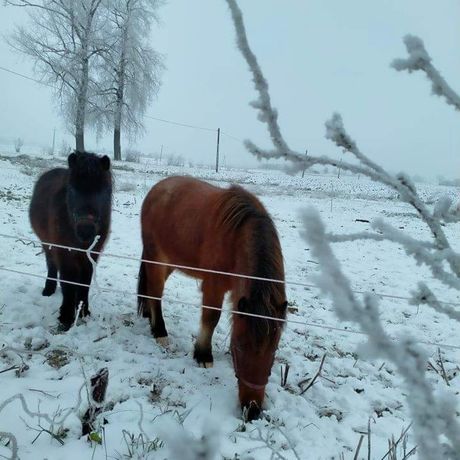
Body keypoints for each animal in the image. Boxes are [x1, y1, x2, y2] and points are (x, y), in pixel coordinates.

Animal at [29, 152, 112, 330]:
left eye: (103, 191)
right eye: (73, 190)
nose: (85, 230)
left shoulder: (91, 255)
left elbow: (85, 282)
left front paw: (83, 312)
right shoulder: (64, 253)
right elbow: (68, 281)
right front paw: (66, 316)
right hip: (48, 244)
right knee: (51, 264)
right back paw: (49, 289)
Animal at [137, 176, 288, 420]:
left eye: (273, 351)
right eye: (240, 347)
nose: (252, 409)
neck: (236, 237)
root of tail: (157, 188)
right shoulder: (213, 286)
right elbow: (211, 318)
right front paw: (203, 354)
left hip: (170, 262)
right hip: (157, 259)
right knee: (155, 292)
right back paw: (159, 331)